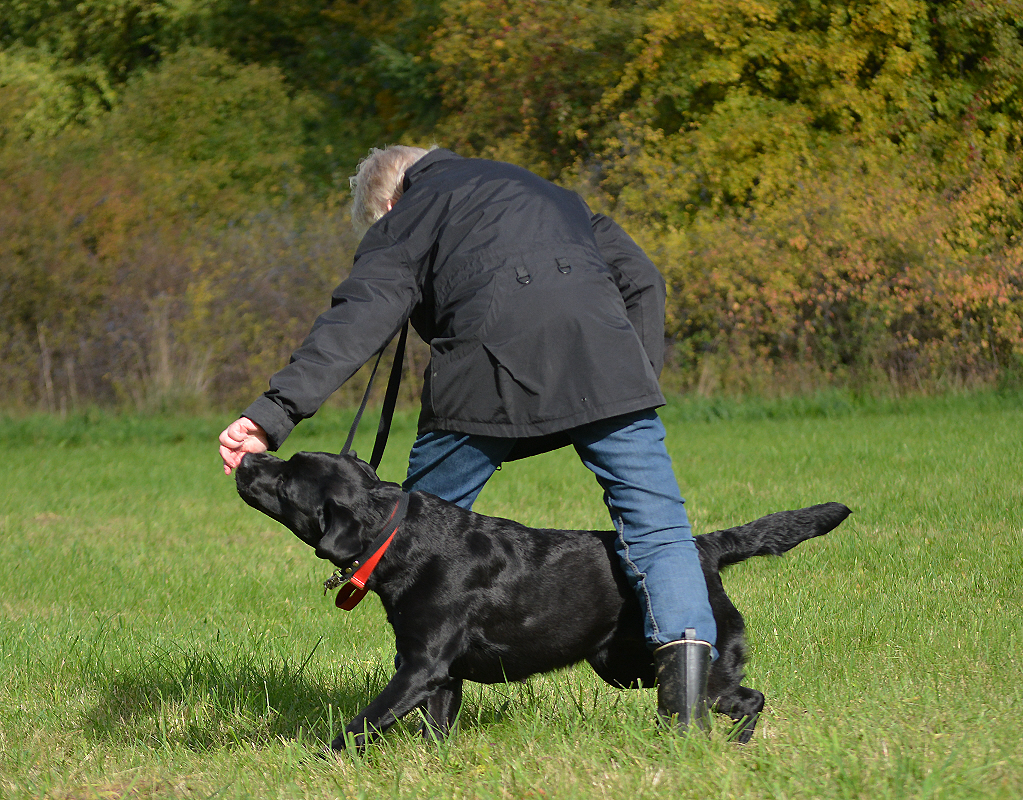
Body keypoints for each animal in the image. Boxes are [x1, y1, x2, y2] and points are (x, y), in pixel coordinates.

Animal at [235, 450, 851, 752]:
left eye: (286, 481)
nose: (244, 459)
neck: (396, 534)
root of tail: (705, 546)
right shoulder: (439, 673)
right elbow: (435, 731)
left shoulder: (418, 668)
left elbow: (361, 725)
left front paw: (316, 760)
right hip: (626, 667)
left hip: (703, 665)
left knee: (749, 698)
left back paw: (733, 748)